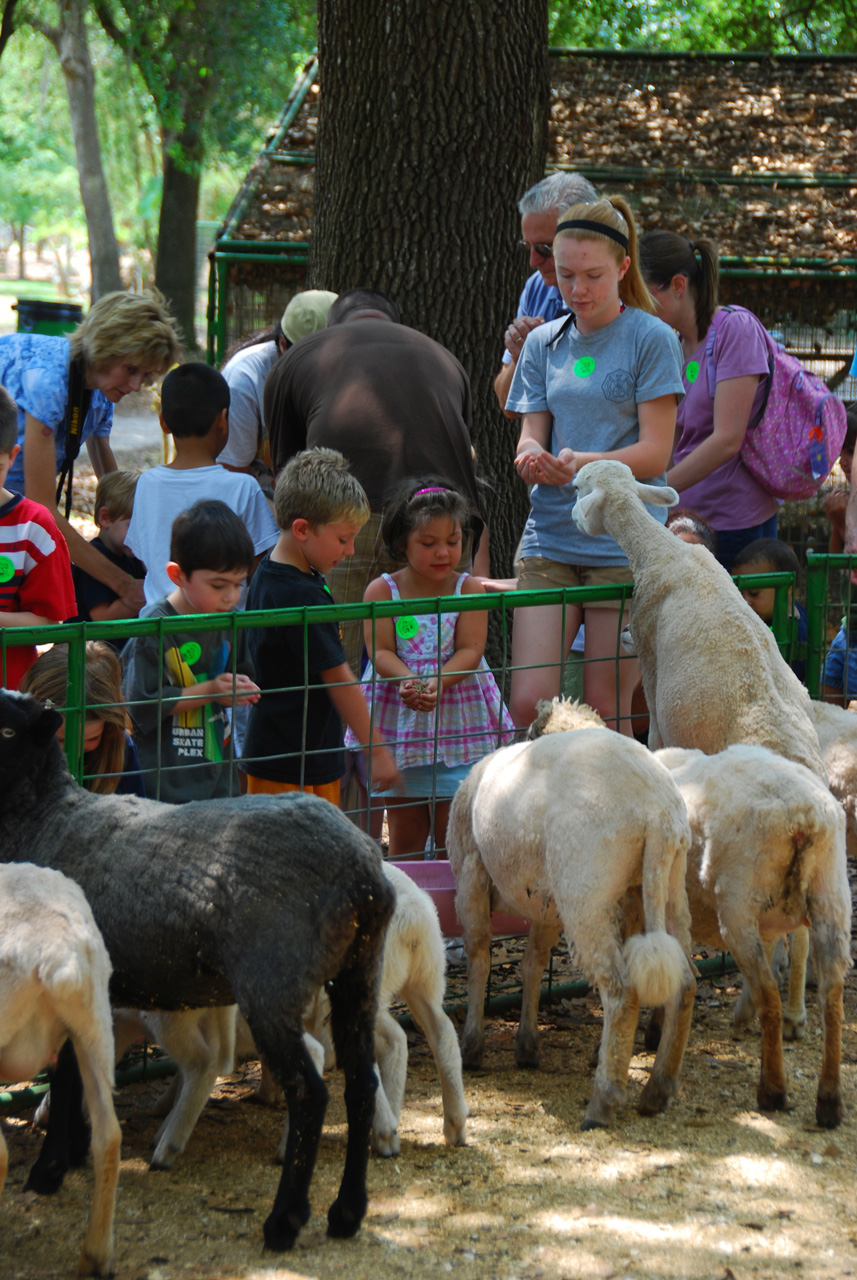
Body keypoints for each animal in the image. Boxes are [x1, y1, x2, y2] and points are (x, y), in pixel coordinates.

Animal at [450, 711, 695, 1131]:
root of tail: (657, 811)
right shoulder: (546, 900)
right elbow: (533, 962)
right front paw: (526, 1045)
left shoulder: (471, 872)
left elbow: (480, 958)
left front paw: (472, 1046)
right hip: (667, 885)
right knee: (686, 983)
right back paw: (657, 1090)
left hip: (586, 892)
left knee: (621, 991)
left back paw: (603, 1102)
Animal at [660, 747, 854, 1126]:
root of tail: (804, 817)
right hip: (832, 896)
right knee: (831, 996)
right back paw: (829, 1100)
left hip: (738, 905)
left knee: (770, 997)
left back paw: (773, 1090)